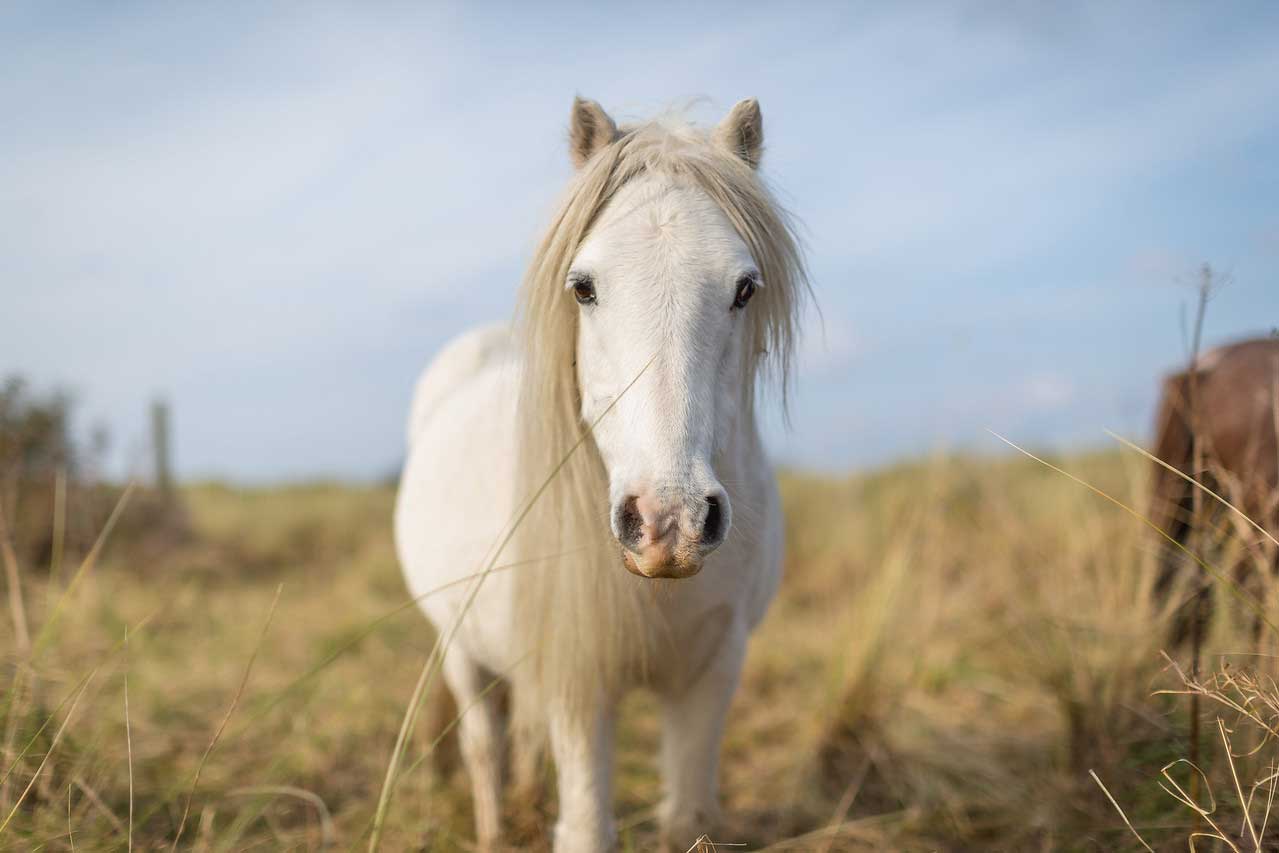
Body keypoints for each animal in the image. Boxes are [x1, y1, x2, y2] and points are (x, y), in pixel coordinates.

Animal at [393, 96, 803, 849]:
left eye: (743, 288)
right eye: (583, 287)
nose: (668, 524)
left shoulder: (710, 673)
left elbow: (687, 818)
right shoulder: (578, 681)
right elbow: (584, 825)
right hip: (460, 646)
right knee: (483, 745)